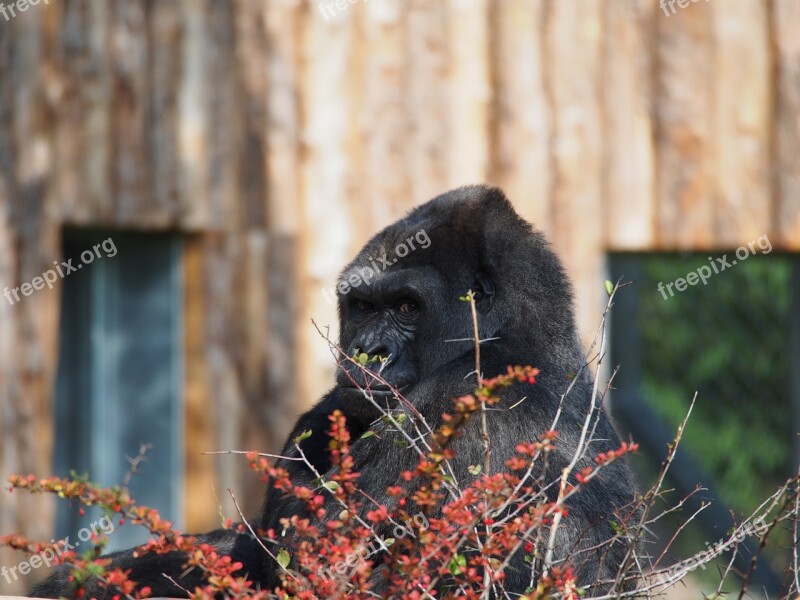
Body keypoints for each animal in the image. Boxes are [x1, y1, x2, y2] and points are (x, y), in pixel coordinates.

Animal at [31, 185, 636, 596]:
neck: (521, 332)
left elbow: (313, 557)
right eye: (363, 307)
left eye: (407, 307)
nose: (368, 351)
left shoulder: (465, 399)